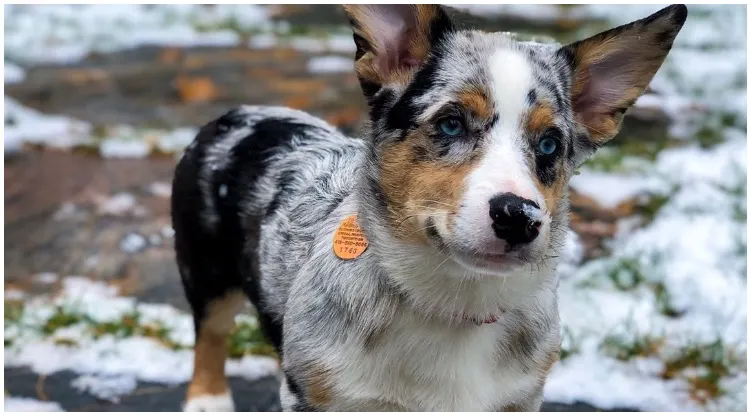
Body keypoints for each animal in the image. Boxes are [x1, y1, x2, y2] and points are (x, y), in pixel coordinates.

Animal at [172, 4, 688, 412]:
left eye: (549, 144)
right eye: (451, 123)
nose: (519, 218)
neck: (454, 302)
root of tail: (239, 113)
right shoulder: (314, 392)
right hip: (206, 271)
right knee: (210, 334)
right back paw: (208, 402)